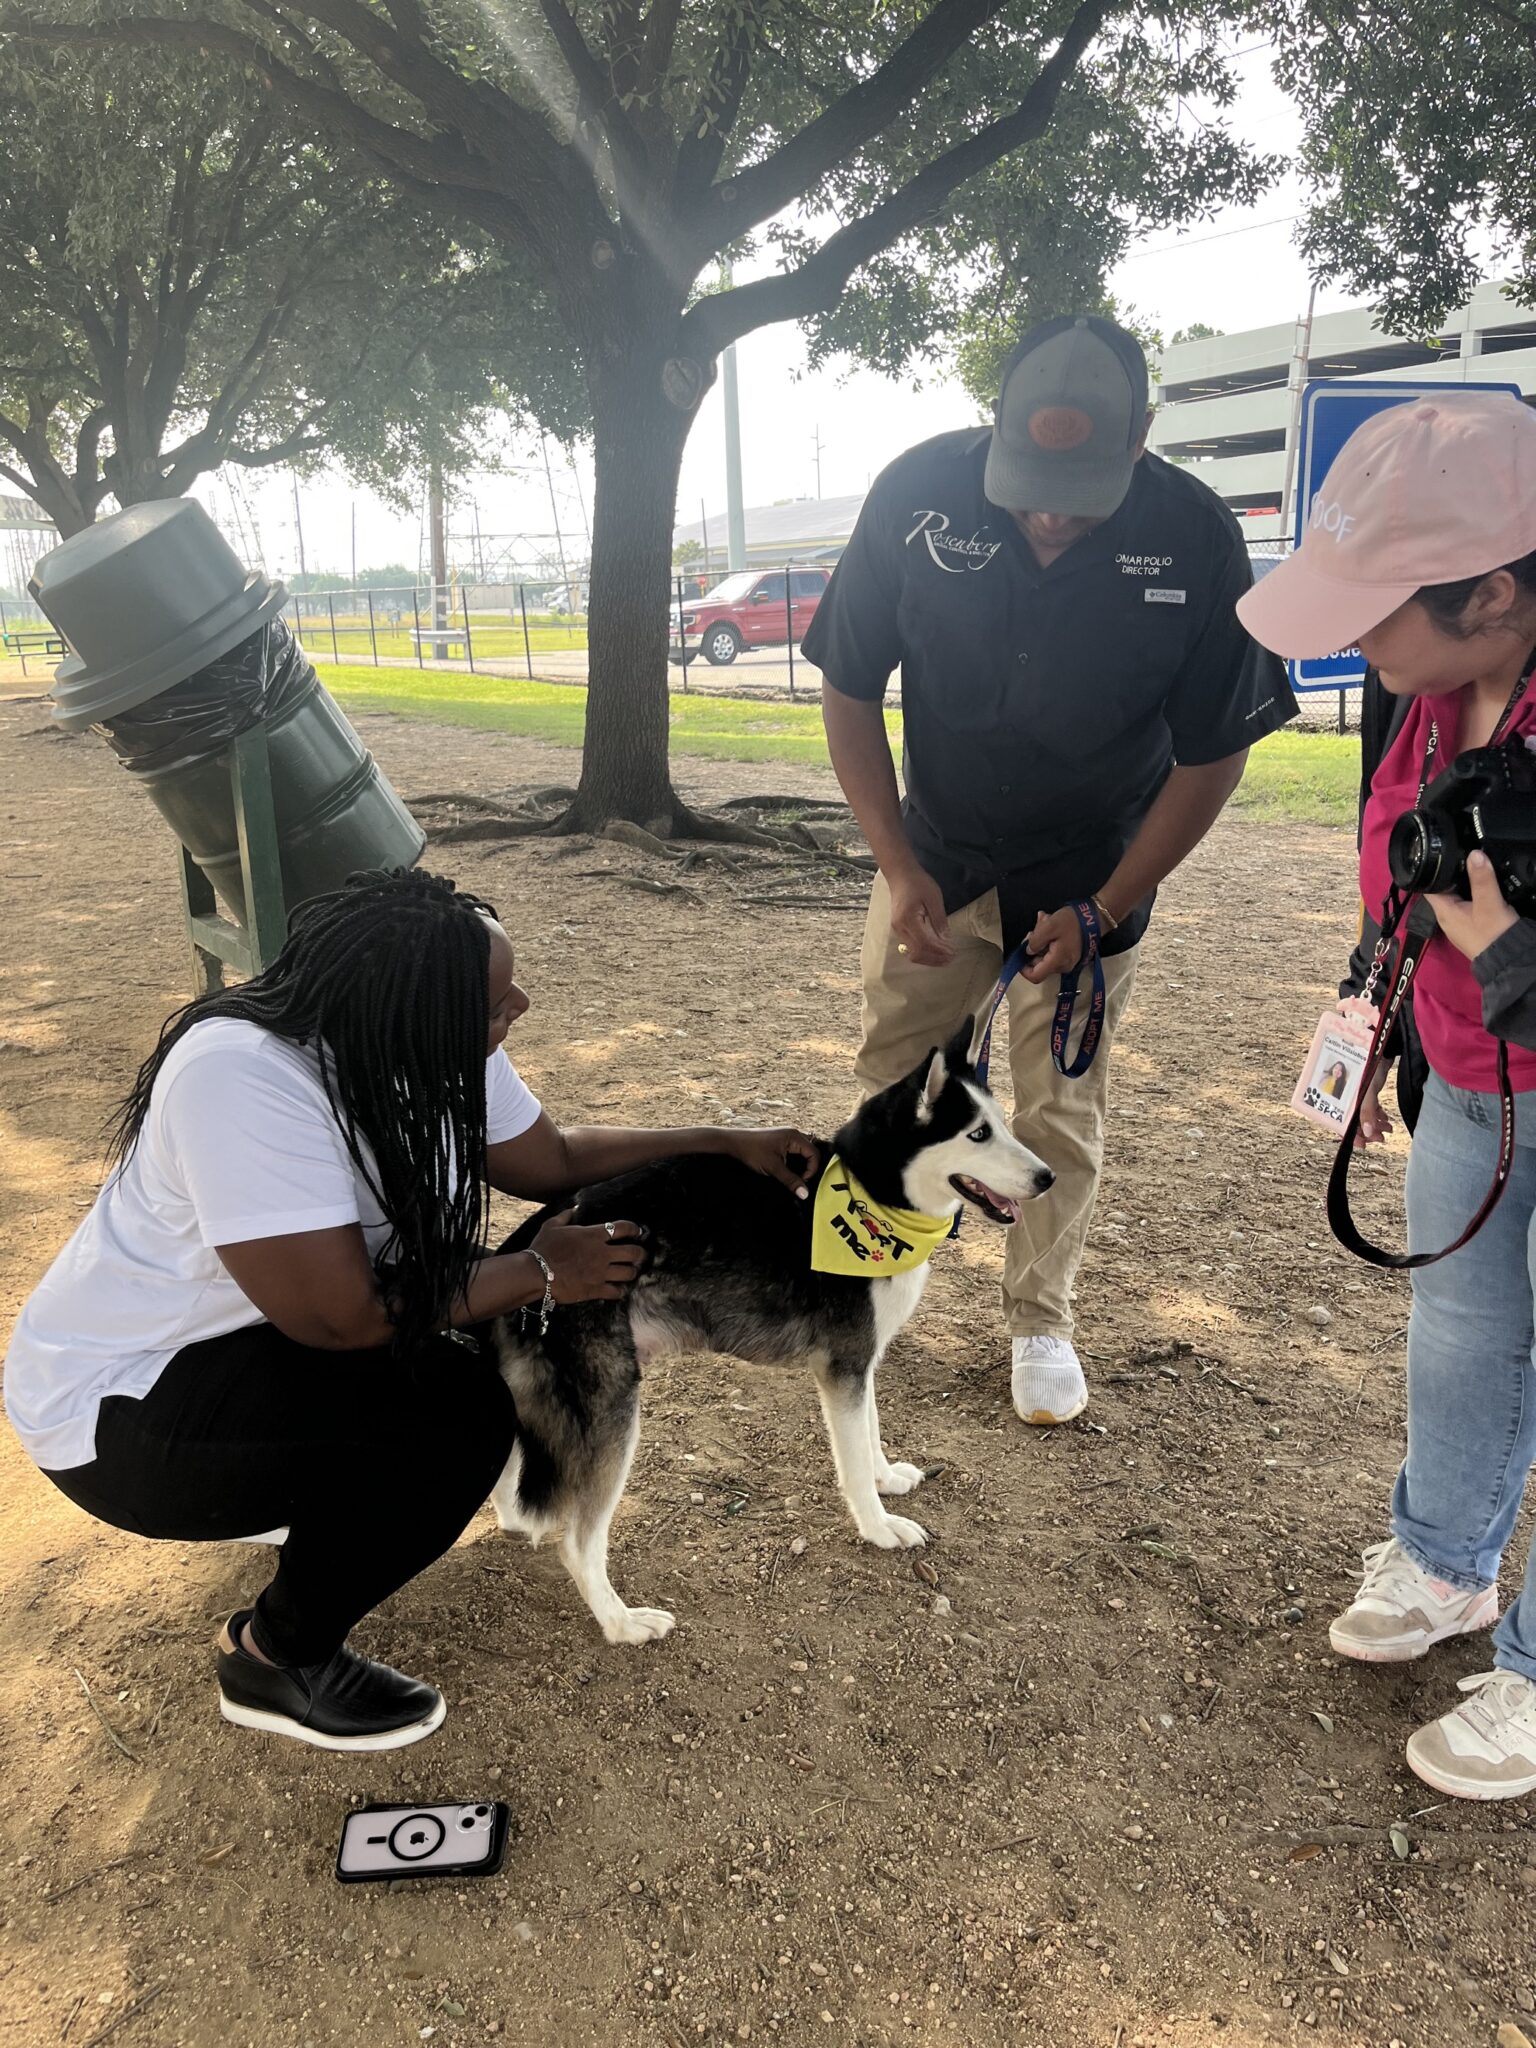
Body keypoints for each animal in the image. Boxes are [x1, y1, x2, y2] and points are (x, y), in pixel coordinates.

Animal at [487, 1024, 1056, 1646]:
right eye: (978, 1133)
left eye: (1000, 1122)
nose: (1048, 1177)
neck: (874, 1197)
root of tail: (530, 1241)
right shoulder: (843, 1366)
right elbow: (854, 1460)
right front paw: (878, 1526)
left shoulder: (861, 1365)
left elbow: (872, 1436)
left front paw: (886, 1479)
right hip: (612, 1411)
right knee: (577, 1541)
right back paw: (622, 1622)